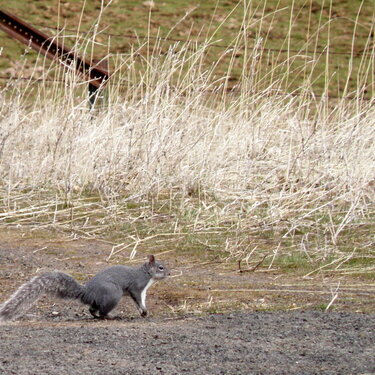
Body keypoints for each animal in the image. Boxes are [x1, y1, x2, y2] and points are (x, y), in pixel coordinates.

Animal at [0, 254, 169, 322]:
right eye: (160, 267)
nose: (169, 273)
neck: (146, 275)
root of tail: (88, 293)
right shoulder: (137, 287)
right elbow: (138, 299)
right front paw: (144, 311)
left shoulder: (142, 291)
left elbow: (139, 302)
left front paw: (143, 312)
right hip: (113, 294)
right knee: (102, 311)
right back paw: (110, 316)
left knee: (92, 309)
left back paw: (97, 315)